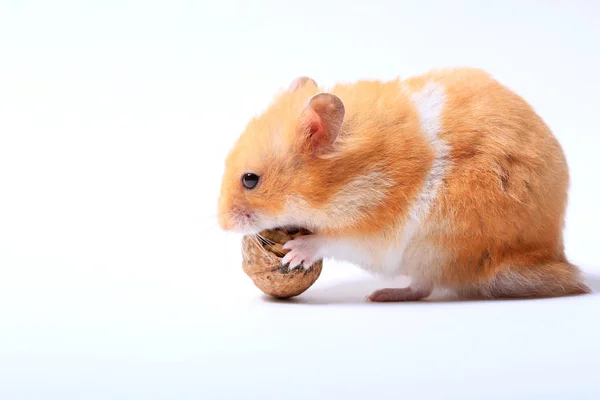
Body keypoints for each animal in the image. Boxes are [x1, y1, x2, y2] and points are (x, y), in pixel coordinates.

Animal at [217, 69, 592, 300]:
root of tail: (552, 254)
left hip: (438, 247)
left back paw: (381, 295)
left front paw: (295, 253)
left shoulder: (374, 234)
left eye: (250, 179)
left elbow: (331, 241)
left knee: (423, 288)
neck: (340, 181)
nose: (222, 225)